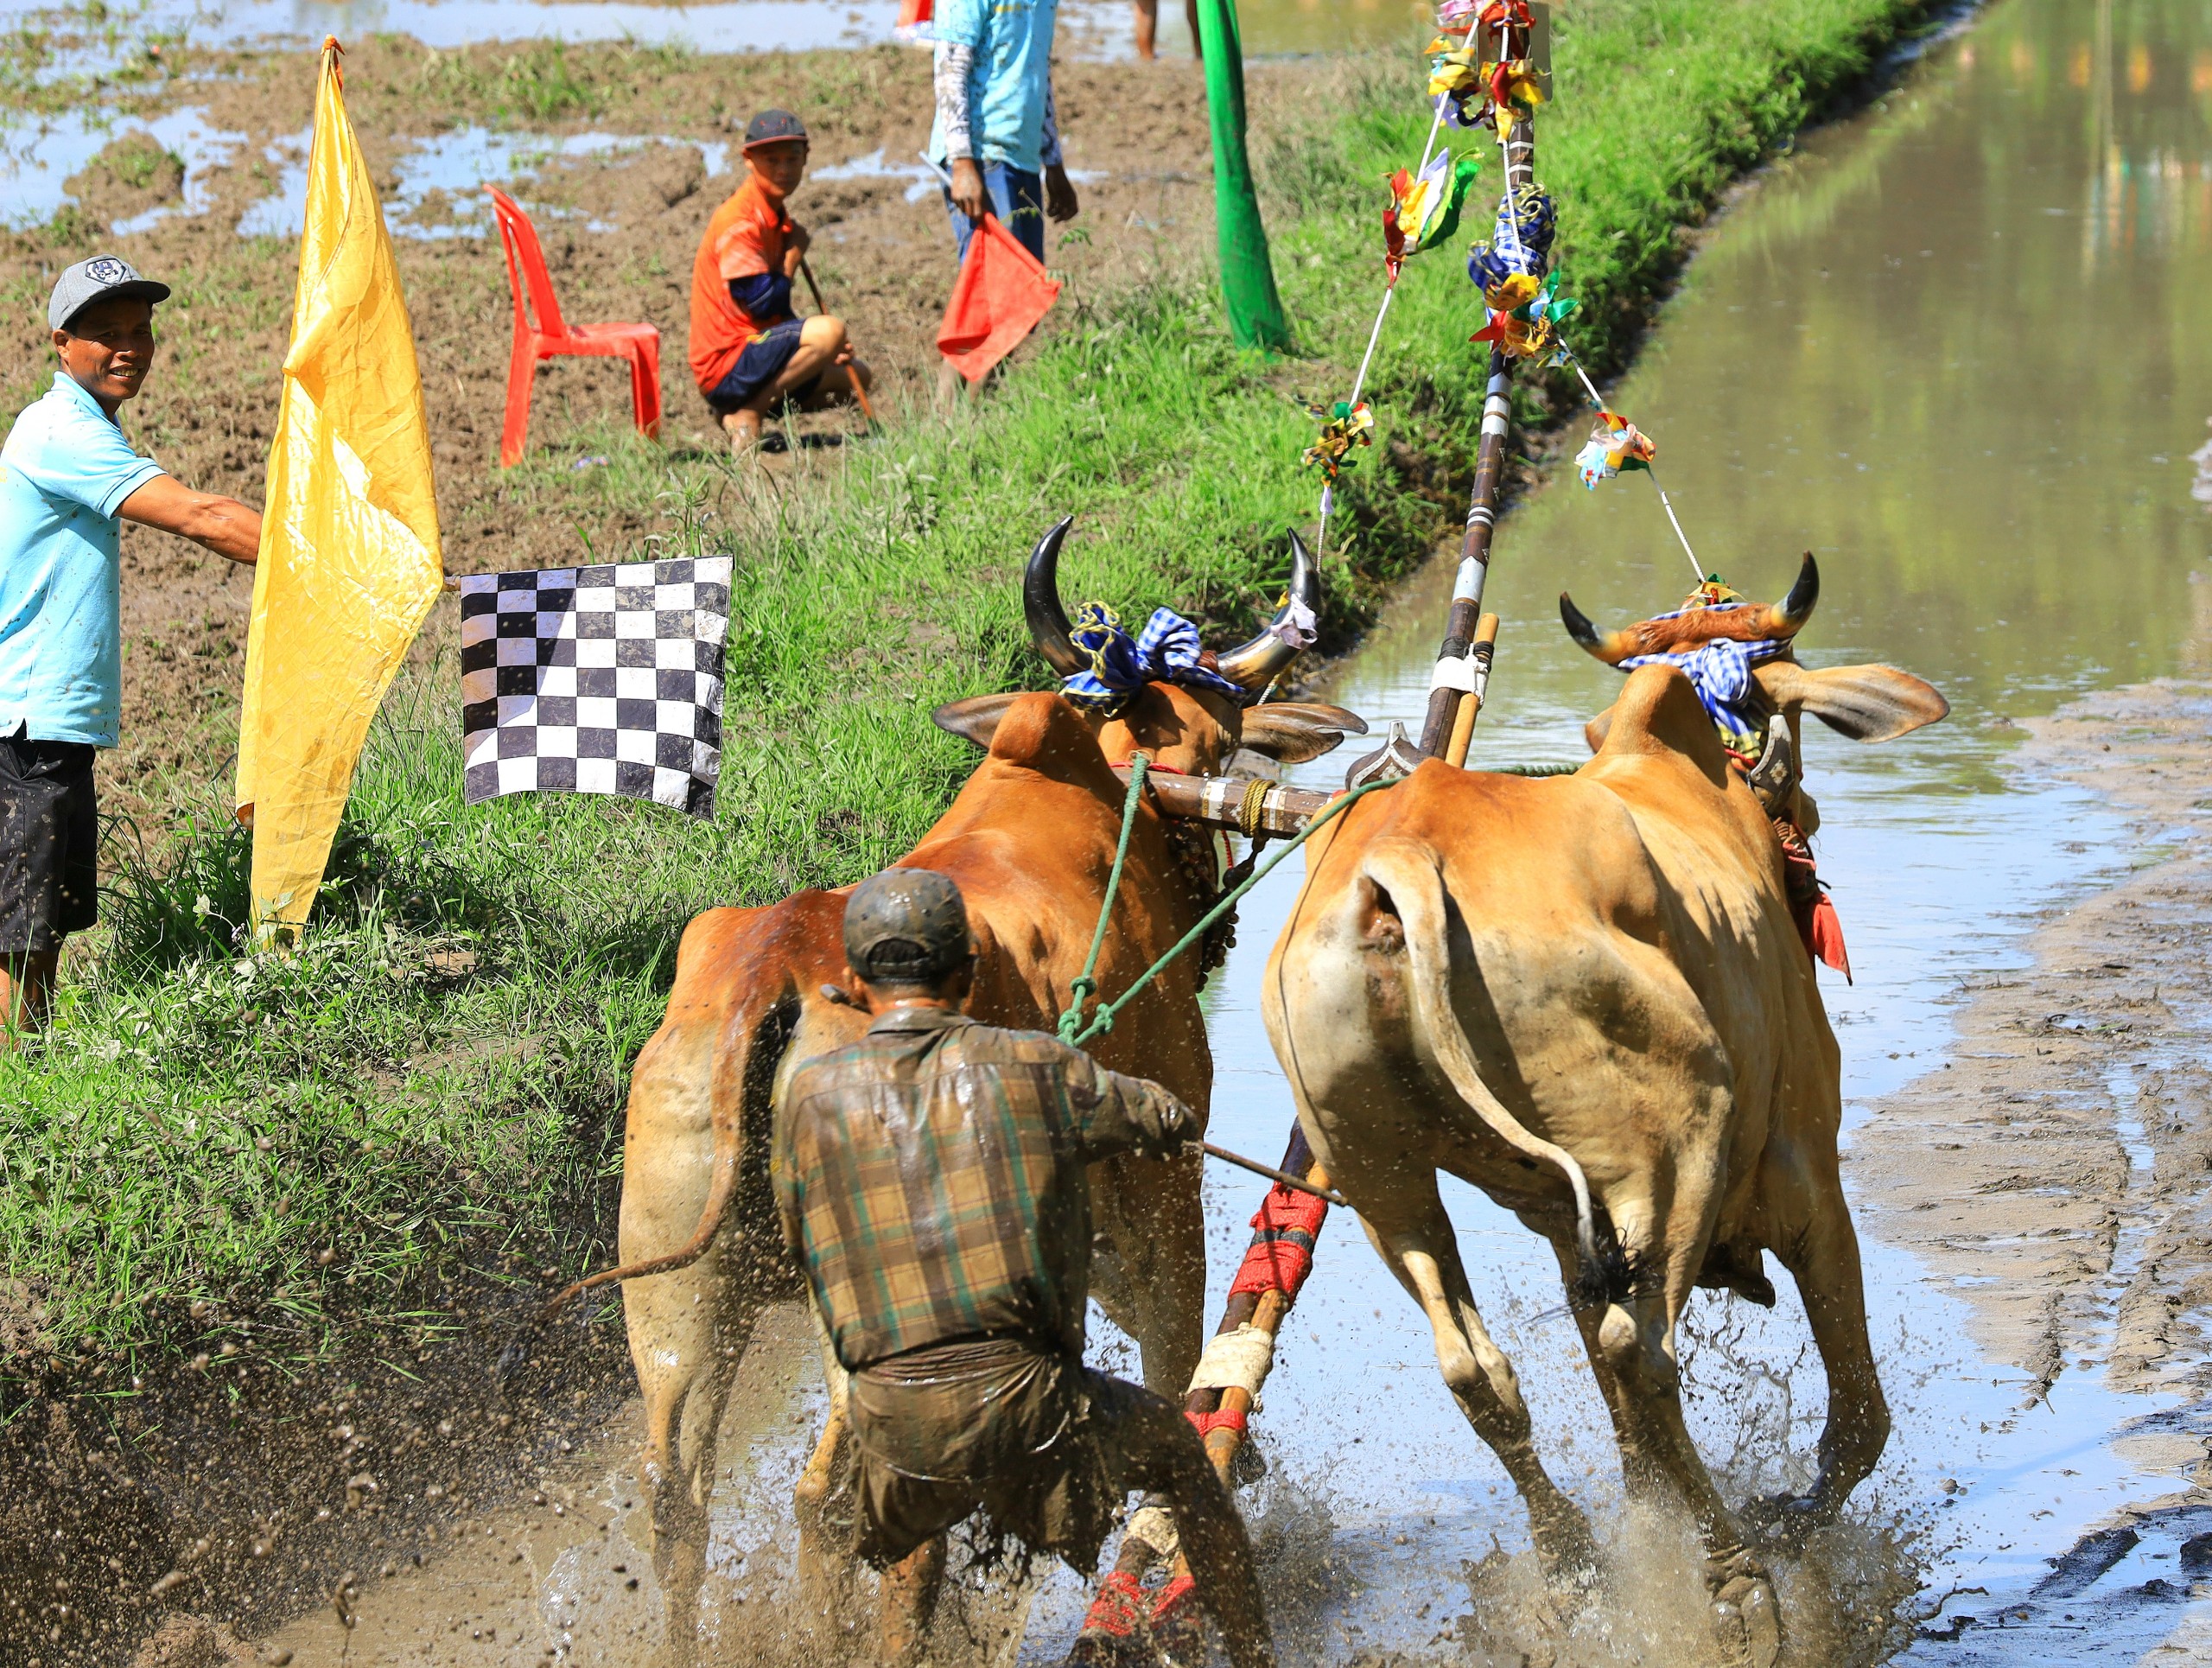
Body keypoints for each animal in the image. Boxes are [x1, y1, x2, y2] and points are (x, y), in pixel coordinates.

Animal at [579, 517, 1353, 1654]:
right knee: (841, 1505)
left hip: (677, 1297)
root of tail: (777, 966)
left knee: (678, 1499)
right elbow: (1178, 1361)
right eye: (1223, 744)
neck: (1113, 799)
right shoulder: (1157, 1186)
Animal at [1274, 562, 1946, 1663]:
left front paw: (1641, 1541)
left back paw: (1574, 1567)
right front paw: (1782, 1523)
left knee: (1477, 1368)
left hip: (1379, 1174)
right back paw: (1736, 1581)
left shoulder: (1566, 1227)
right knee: (1645, 1350)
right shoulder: (1808, 1174)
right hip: (1681, 1134)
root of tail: (1403, 858)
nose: (1798, 803)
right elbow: (1857, 1419)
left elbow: (1627, 1439)